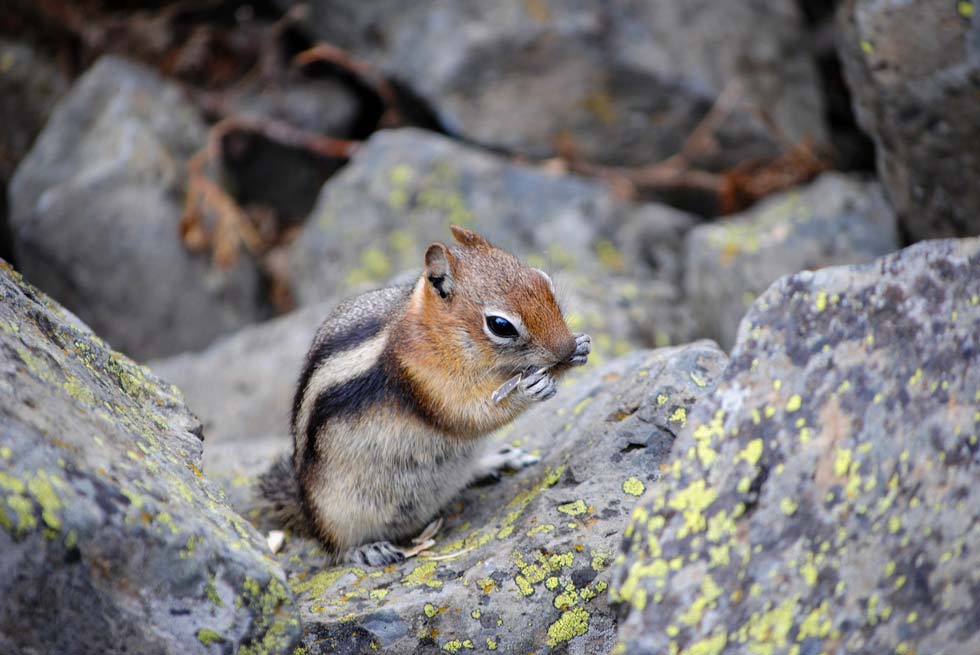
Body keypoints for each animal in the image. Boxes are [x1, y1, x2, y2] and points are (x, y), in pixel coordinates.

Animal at [259, 225, 590, 566]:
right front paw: (529, 388)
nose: (565, 347)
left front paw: (579, 348)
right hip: (336, 511)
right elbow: (469, 415)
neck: (435, 333)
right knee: (332, 545)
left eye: (544, 280)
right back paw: (365, 549)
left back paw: (496, 461)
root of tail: (305, 507)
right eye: (500, 325)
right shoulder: (423, 379)